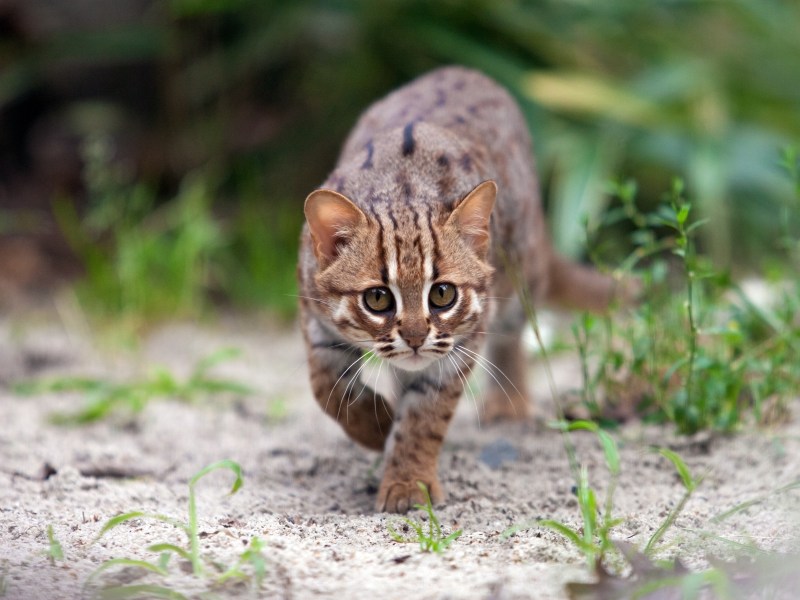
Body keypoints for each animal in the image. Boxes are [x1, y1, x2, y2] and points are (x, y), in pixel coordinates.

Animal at [298, 68, 624, 512]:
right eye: (377, 299)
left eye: (442, 295)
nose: (415, 338)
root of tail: (466, 71)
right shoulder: (316, 320)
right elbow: (326, 389)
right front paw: (378, 428)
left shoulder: (460, 343)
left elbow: (425, 418)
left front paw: (408, 482)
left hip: (519, 274)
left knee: (512, 333)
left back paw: (508, 404)